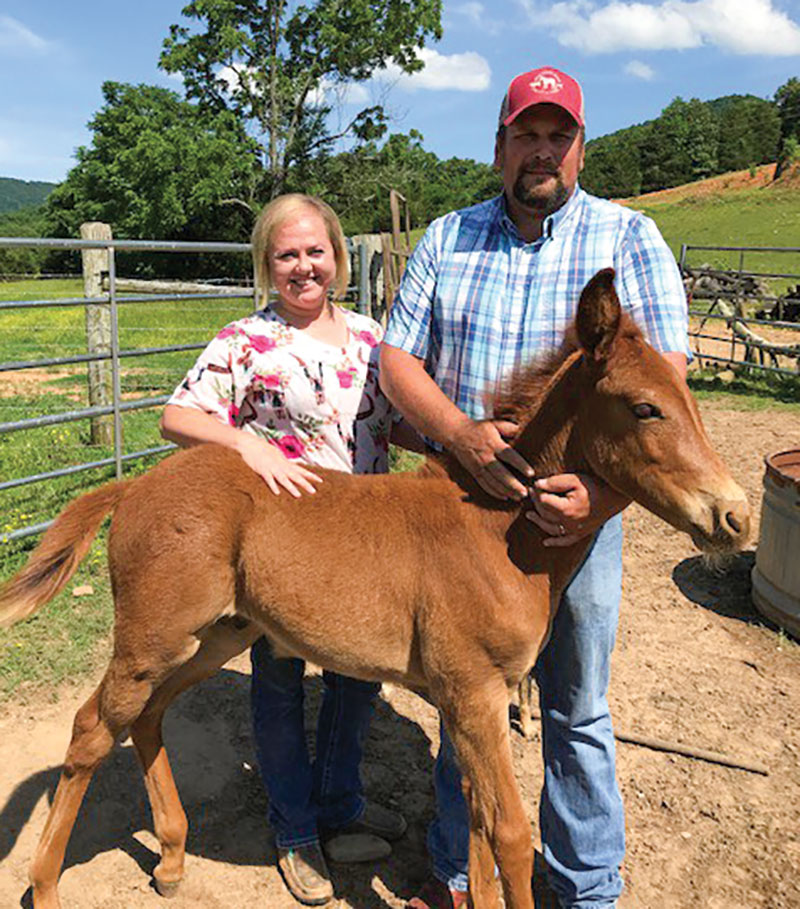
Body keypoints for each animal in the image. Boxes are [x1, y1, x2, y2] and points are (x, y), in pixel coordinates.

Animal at [1, 270, 752, 908]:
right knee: (92, 730)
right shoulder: (477, 695)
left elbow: (476, 826)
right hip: (151, 638)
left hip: (216, 636)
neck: (494, 531)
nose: (735, 518)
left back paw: (173, 859)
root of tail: (132, 487)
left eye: (691, 401)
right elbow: (509, 834)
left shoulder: (469, 704)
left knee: (147, 717)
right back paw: (47, 885)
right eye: (645, 408)